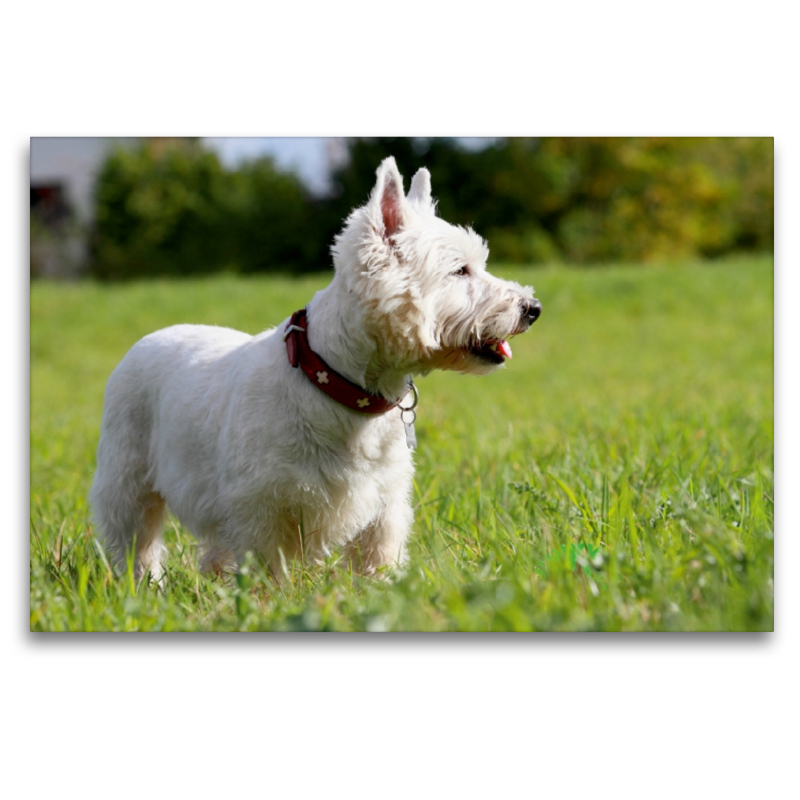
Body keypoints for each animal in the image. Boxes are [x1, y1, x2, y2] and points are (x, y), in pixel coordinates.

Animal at [90, 158, 540, 580]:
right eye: (459, 270)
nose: (532, 308)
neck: (341, 386)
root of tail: (149, 337)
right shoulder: (258, 505)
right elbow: (266, 570)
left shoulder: (384, 504)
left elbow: (378, 560)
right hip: (128, 478)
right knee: (135, 539)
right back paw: (142, 586)